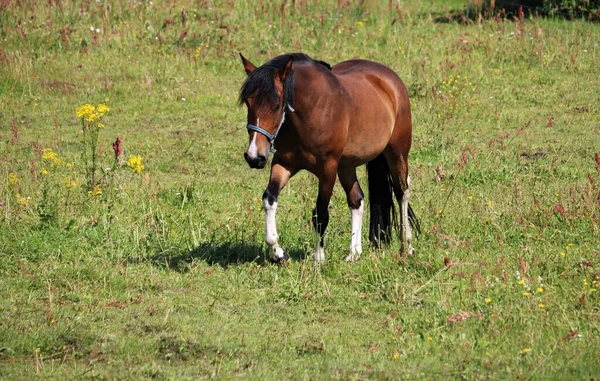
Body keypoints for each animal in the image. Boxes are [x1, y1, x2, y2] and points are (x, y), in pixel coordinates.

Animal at [237, 52, 420, 262]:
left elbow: (320, 213)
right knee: (357, 199)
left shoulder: (328, 169)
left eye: (276, 105)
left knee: (402, 192)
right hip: (346, 165)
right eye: (248, 103)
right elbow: (269, 198)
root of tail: (390, 80)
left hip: (397, 153)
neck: (311, 112)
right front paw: (277, 253)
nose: (254, 157)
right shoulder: (284, 164)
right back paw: (354, 253)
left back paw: (406, 246)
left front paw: (318, 257)